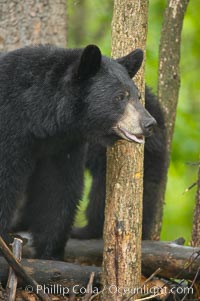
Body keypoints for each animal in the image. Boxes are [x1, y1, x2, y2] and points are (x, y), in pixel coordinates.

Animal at [0, 44, 156, 258]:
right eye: (119, 97)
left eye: (137, 96)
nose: (149, 123)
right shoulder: (10, 129)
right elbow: (5, 179)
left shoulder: (61, 144)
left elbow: (57, 187)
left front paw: (51, 251)